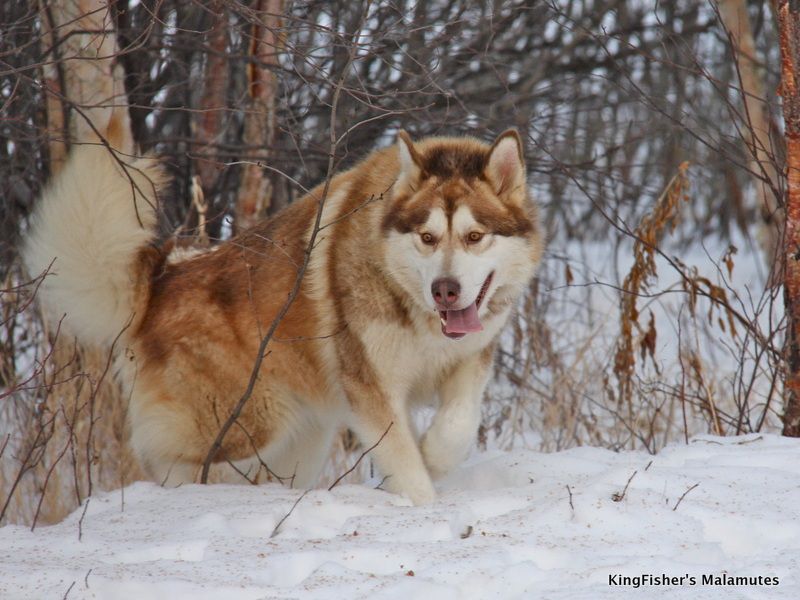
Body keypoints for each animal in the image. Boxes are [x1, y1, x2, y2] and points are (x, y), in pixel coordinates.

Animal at [23, 127, 544, 506]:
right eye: (428, 238)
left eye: (475, 236)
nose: (445, 289)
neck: (418, 313)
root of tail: (161, 277)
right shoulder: (371, 388)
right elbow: (405, 462)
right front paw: (426, 505)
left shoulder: (470, 359)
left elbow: (457, 425)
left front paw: (435, 456)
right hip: (248, 423)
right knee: (176, 460)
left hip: (304, 435)